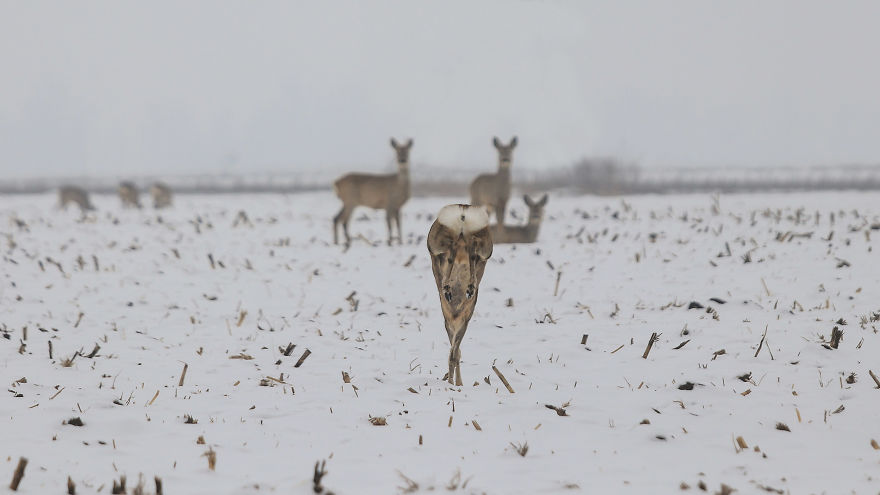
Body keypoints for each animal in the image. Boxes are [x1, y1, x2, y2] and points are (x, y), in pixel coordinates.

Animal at [427, 204, 493, 385]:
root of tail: (463, 210)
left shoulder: (455, 321)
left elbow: (454, 352)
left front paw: (455, 382)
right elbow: (455, 351)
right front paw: (456, 382)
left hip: (435, 244)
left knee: (456, 250)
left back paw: (452, 288)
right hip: (485, 248)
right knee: (469, 250)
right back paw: (465, 287)